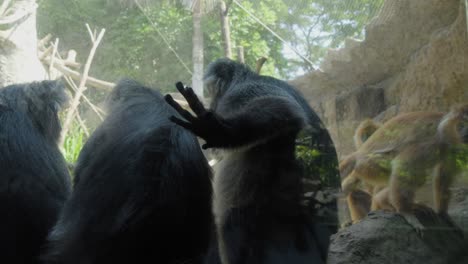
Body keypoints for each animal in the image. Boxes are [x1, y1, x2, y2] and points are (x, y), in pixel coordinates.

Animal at [340, 104, 468, 230]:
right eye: (462, 124)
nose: (464, 133)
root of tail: (357, 154)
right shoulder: (431, 142)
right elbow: (402, 165)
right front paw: (405, 212)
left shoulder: (454, 150)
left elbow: (444, 176)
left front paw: (443, 214)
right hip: (367, 165)